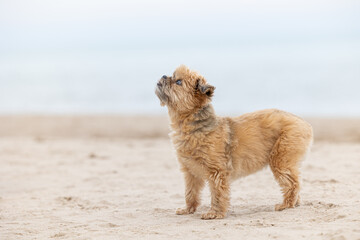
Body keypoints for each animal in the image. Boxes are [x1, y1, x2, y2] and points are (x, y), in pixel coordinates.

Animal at [156, 65, 314, 219]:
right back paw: (294, 203)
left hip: (280, 160)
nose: (163, 76)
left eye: (178, 82)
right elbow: (190, 193)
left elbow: (217, 193)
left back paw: (286, 204)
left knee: (292, 183)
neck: (190, 125)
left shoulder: (217, 172)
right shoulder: (190, 173)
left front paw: (215, 213)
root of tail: (304, 123)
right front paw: (188, 209)